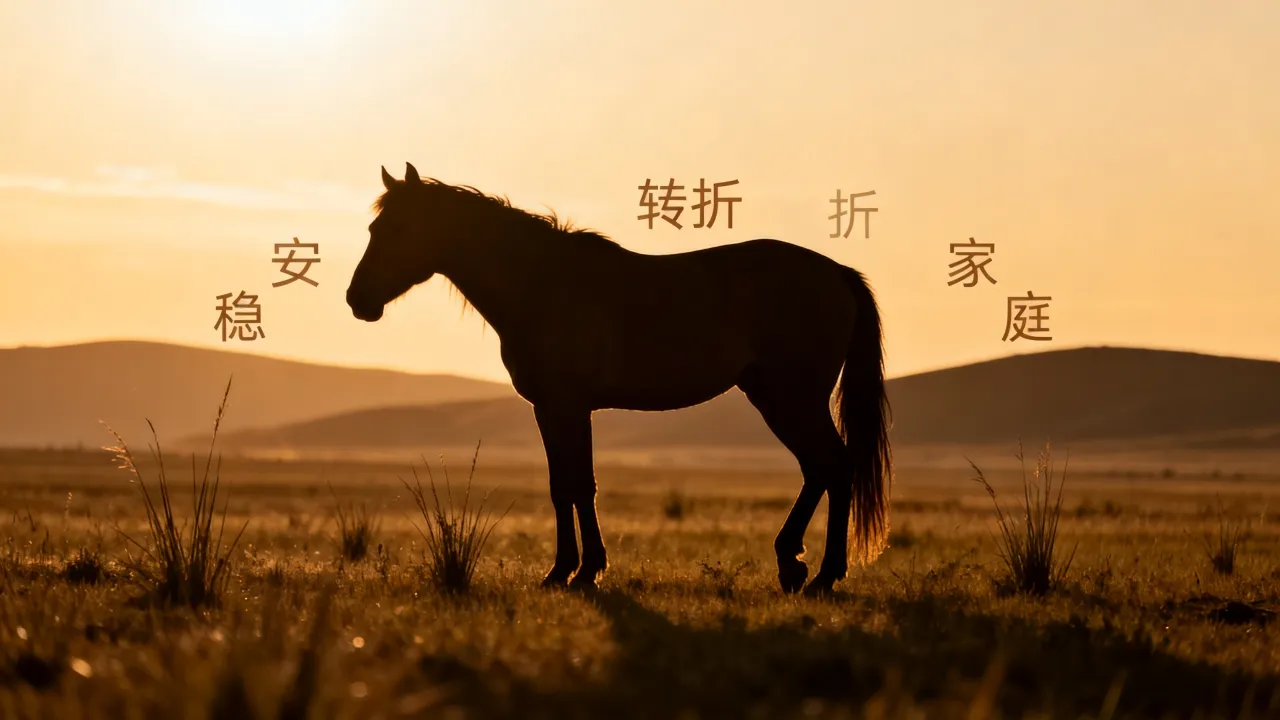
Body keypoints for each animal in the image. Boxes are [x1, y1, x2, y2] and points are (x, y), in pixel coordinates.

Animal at [346, 163, 893, 595]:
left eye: (399, 228)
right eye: (374, 226)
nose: (357, 300)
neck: (541, 284)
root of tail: (837, 273)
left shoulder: (567, 405)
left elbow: (578, 484)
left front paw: (581, 572)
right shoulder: (551, 409)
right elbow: (562, 485)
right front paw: (565, 571)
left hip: (790, 399)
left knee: (833, 466)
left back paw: (819, 574)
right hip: (778, 397)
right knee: (822, 469)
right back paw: (796, 565)